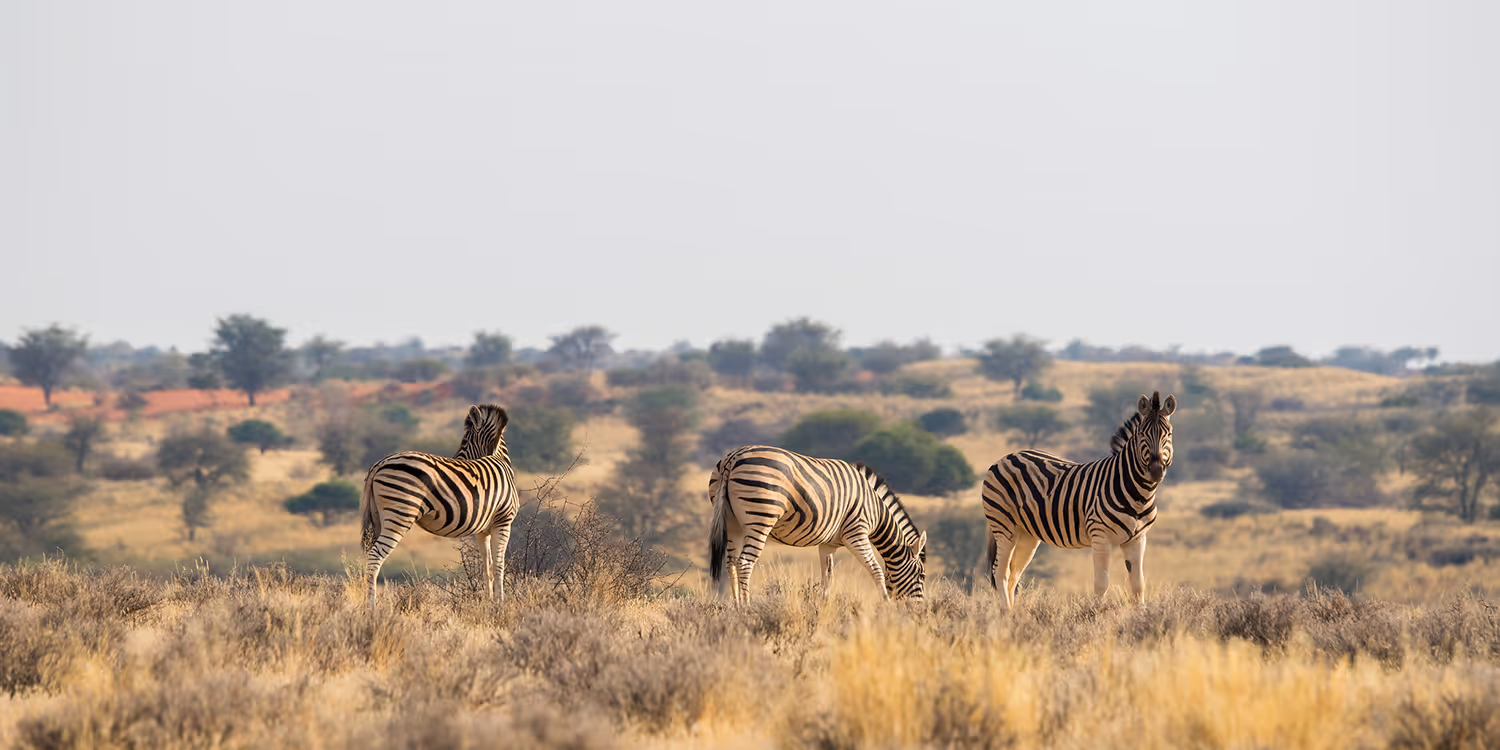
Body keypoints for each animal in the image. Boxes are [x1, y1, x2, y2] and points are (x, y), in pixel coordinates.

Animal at [360, 404, 519, 606]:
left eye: (464, 442)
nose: (458, 460)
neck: (498, 459)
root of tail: (379, 464)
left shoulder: (483, 531)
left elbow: (488, 567)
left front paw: (489, 602)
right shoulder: (503, 521)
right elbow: (499, 565)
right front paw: (500, 604)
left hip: (379, 517)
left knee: (370, 556)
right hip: (400, 515)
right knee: (375, 557)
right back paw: (371, 607)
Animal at [709, 445, 927, 603]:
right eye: (922, 575)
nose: (919, 611)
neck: (876, 509)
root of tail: (732, 458)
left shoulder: (828, 544)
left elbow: (827, 578)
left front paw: (823, 607)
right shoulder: (856, 532)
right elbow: (876, 570)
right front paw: (886, 607)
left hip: (733, 523)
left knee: (730, 563)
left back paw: (736, 608)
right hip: (760, 520)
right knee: (744, 563)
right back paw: (747, 608)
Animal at [981, 391, 1176, 611]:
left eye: (1168, 435)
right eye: (1142, 434)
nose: (1156, 470)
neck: (1138, 495)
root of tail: (1005, 458)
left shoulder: (1137, 539)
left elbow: (1137, 585)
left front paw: (1140, 616)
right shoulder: (1100, 537)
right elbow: (1101, 584)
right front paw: (1095, 615)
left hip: (1027, 533)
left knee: (1014, 573)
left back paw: (1014, 614)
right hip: (1004, 526)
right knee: (1000, 571)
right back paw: (1005, 613)